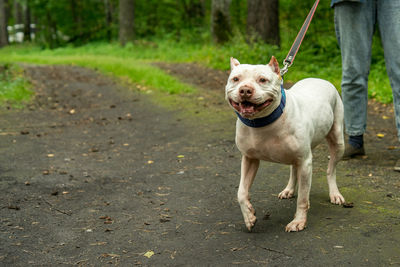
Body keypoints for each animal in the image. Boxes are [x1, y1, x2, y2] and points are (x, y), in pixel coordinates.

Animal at [225, 56, 346, 232]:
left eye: (262, 80)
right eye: (236, 79)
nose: (245, 90)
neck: (262, 122)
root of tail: (320, 79)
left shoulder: (305, 162)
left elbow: (302, 198)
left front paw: (298, 222)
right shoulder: (249, 159)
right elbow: (241, 192)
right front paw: (249, 216)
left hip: (338, 142)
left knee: (331, 170)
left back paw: (335, 194)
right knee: (293, 170)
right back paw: (289, 189)